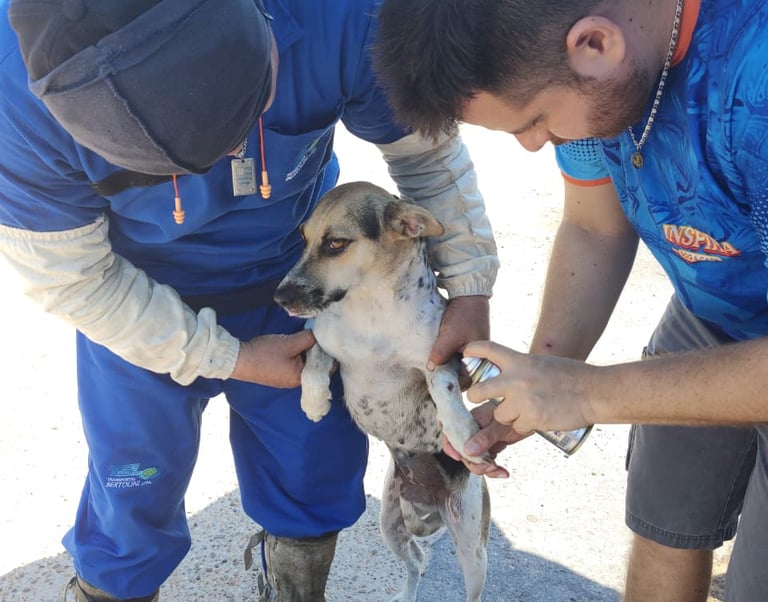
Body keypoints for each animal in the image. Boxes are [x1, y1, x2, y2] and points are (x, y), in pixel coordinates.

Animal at [274, 181, 490, 602]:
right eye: (304, 238)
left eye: (336, 243)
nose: (280, 297)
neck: (370, 309)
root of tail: (429, 508)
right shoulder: (320, 335)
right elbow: (314, 359)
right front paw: (314, 401)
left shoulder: (438, 356)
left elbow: (444, 389)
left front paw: (462, 432)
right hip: (390, 523)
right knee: (417, 561)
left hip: (472, 546)